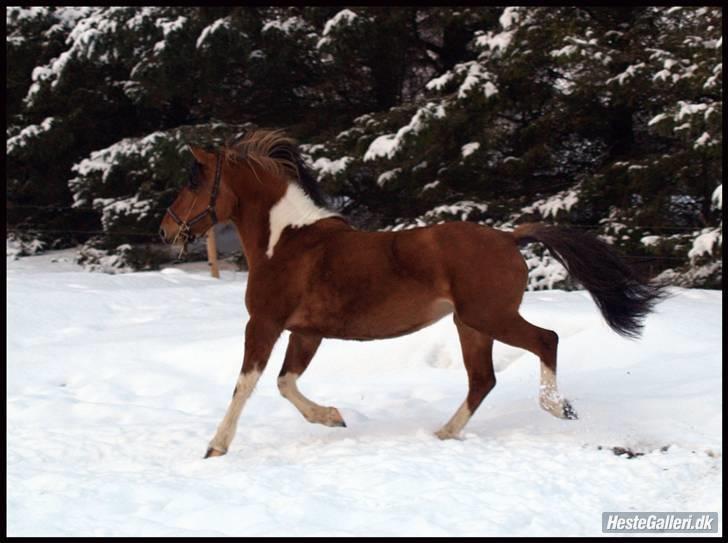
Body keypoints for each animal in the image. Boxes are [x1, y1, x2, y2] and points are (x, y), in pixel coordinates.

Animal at [159, 129, 664, 460]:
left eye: (193, 181)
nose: (166, 229)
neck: (286, 242)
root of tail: (509, 237)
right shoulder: (307, 332)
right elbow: (286, 383)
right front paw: (333, 417)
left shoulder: (264, 323)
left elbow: (246, 384)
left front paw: (215, 447)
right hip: (470, 325)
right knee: (482, 380)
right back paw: (444, 433)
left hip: (488, 317)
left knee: (546, 340)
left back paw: (556, 408)